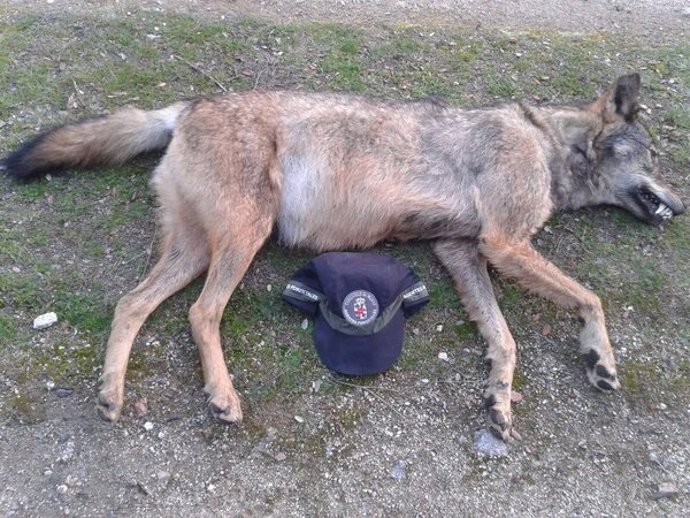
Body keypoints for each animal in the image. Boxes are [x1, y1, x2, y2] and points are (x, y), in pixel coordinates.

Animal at [2, 73, 684, 440]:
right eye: (654, 159)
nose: (680, 207)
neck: (546, 143)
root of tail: (187, 107)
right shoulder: (503, 243)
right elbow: (591, 298)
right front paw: (600, 358)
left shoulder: (460, 250)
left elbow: (504, 339)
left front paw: (498, 398)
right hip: (245, 238)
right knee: (201, 314)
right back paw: (222, 397)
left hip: (195, 251)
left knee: (131, 305)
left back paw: (111, 394)